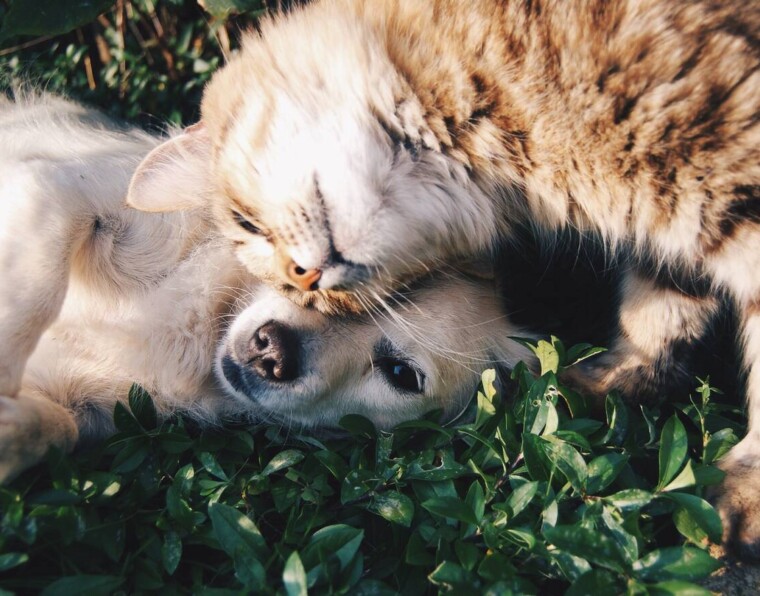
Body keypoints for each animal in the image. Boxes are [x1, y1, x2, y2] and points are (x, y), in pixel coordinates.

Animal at [124, 2, 760, 556]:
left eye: (248, 224)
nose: (305, 282)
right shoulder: (673, 234)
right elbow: (662, 309)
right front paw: (609, 385)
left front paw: (746, 497)